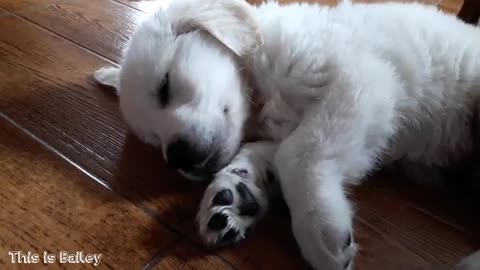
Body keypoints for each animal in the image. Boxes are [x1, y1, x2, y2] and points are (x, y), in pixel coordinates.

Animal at [94, 1, 480, 268]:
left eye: (165, 86)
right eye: (152, 138)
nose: (177, 157)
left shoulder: (359, 80)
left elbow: (296, 153)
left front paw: (320, 229)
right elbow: (267, 152)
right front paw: (237, 191)